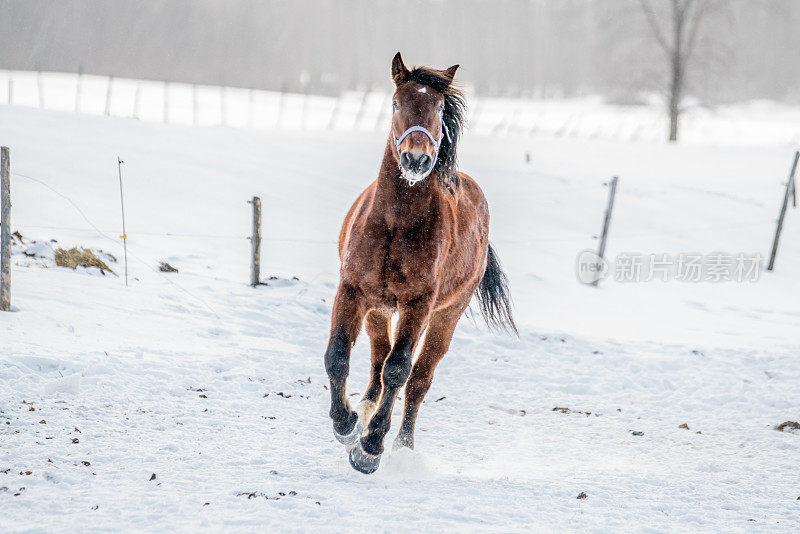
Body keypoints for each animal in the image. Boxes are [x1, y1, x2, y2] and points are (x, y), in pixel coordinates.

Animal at [324, 52, 520, 476]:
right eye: (397, 103)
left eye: (440, 108)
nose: (417, 159)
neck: (396, 223)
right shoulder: (352, 290)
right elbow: (338, 357)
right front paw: (346, 425)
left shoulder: (419, 305)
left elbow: (400, 370)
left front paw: (369, 450)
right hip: (379, 308)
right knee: (377, 359)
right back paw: (364, 409)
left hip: (446, 316)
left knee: (417, 379)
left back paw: (401, 444)